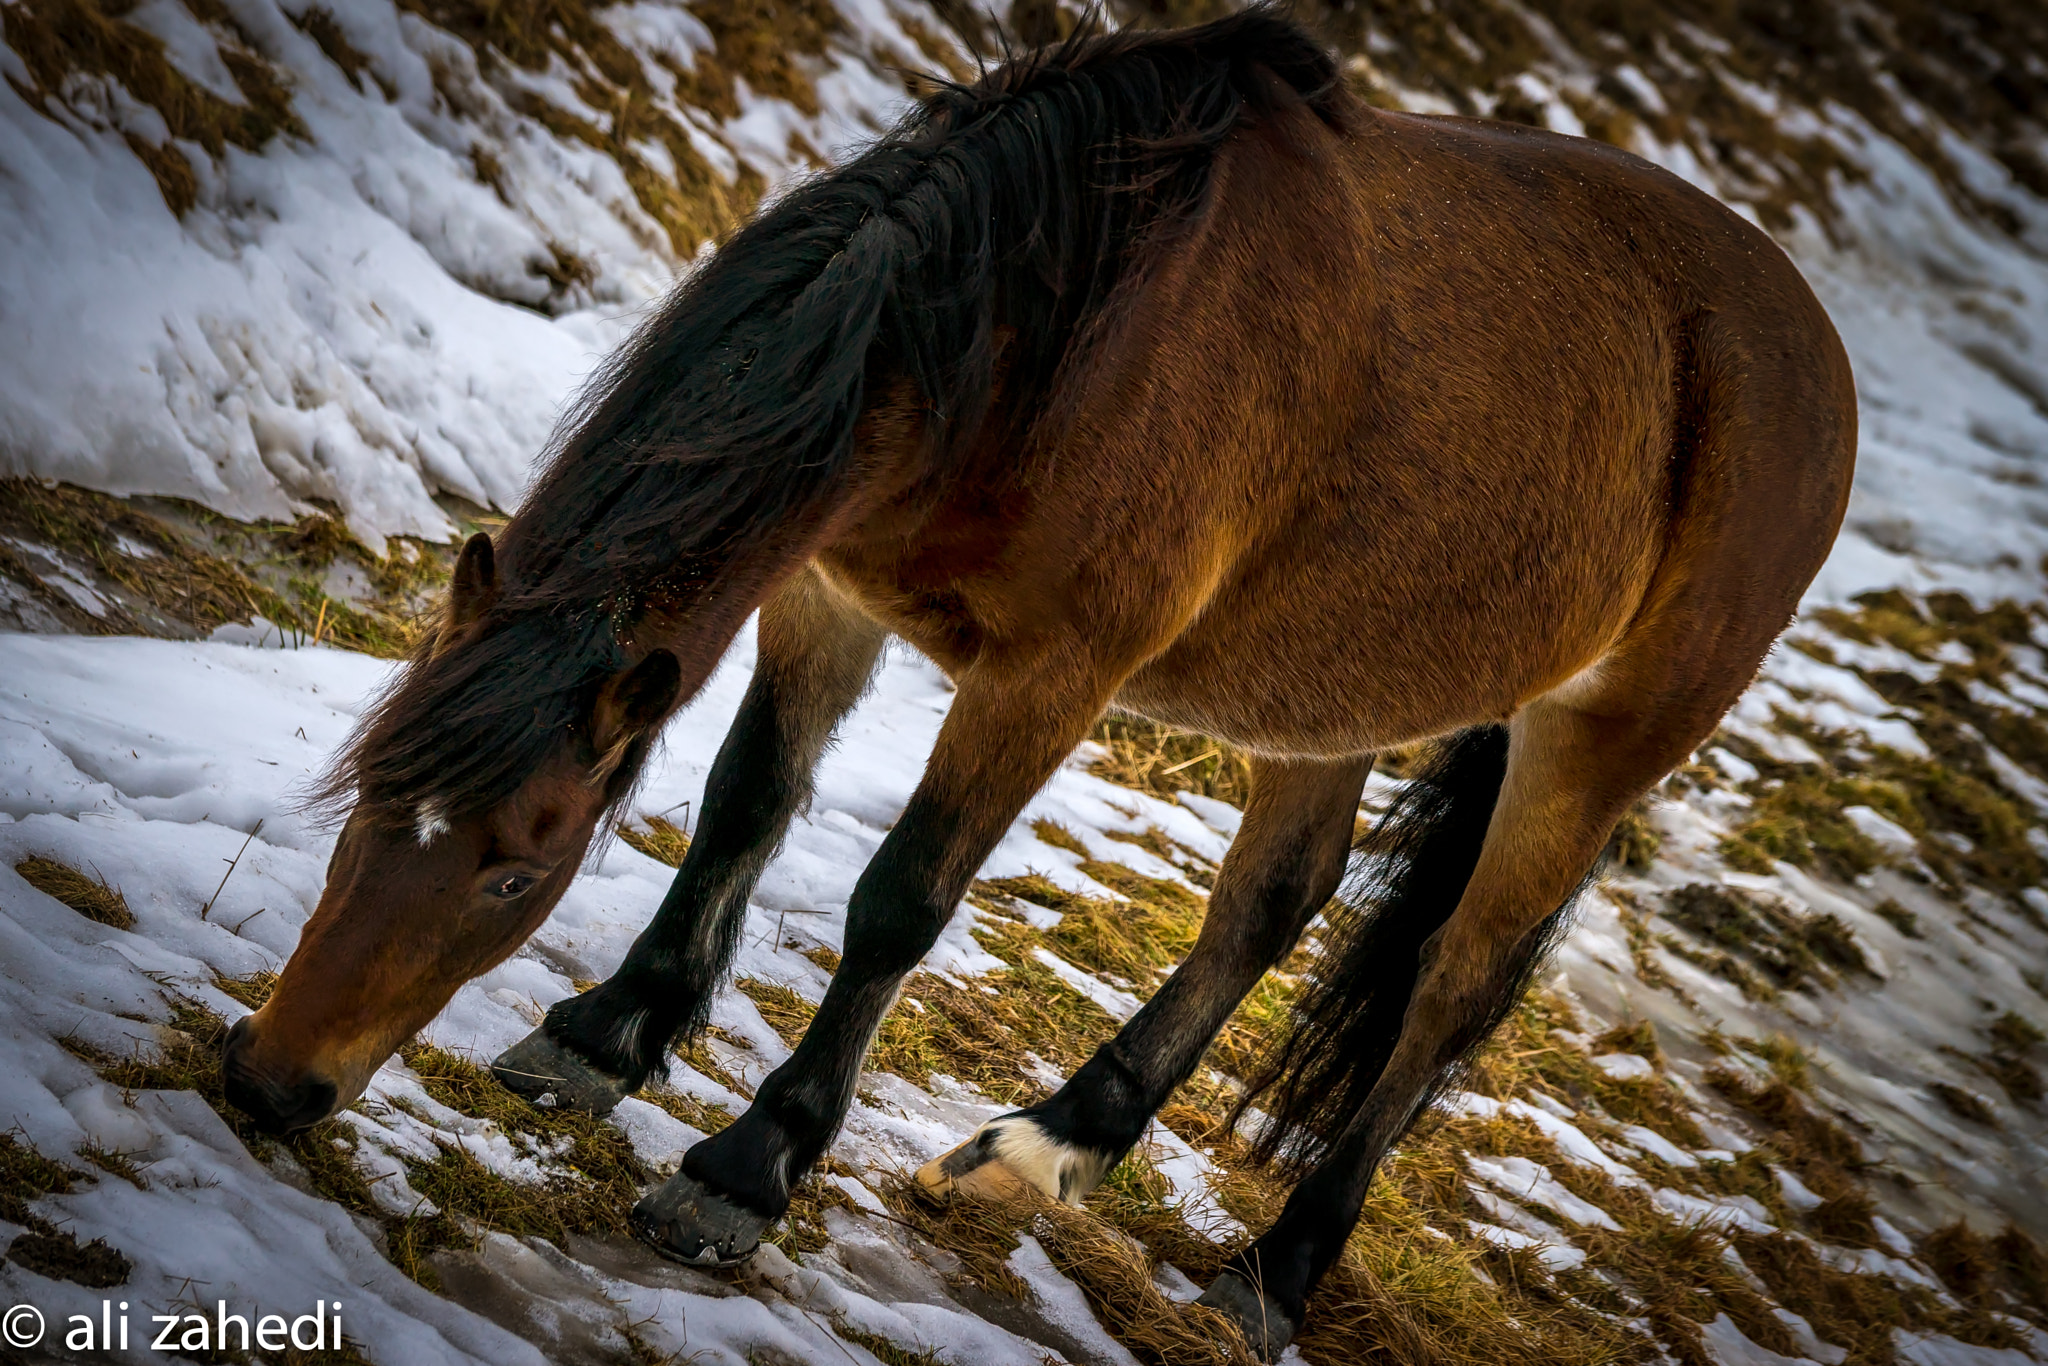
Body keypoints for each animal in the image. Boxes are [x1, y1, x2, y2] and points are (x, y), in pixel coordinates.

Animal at [224, 10, 1859, 1359]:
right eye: (368, 792)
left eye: (516, 874)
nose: (270, 1081)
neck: (1048, 329)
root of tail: (1806, 344)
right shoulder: (826, 592)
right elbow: (746, 801)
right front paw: (609, 1032)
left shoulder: (1052, 675)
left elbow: (901, 899)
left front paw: (749, 1167)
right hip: (1321, 687)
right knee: (1279, 889)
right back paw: (1060, 1140)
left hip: (1592, 744)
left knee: (1450, 990)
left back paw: (1270, 1275)